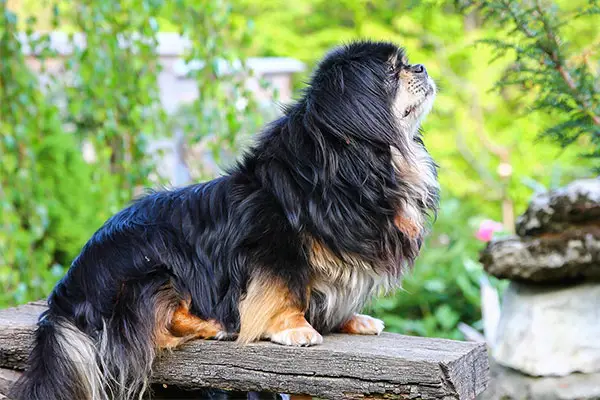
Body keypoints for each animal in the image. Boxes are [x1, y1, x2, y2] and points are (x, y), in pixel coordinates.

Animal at [11, 40, 438, 400]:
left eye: (405, 64)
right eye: (391, 72)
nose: (421, 66)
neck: (355, 163)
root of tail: (66, 293)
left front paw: (352, 320)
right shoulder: (272, 246)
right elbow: (284, 290)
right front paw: (295, 328)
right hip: (152, 266)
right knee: (159, 321)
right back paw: (214, 325)